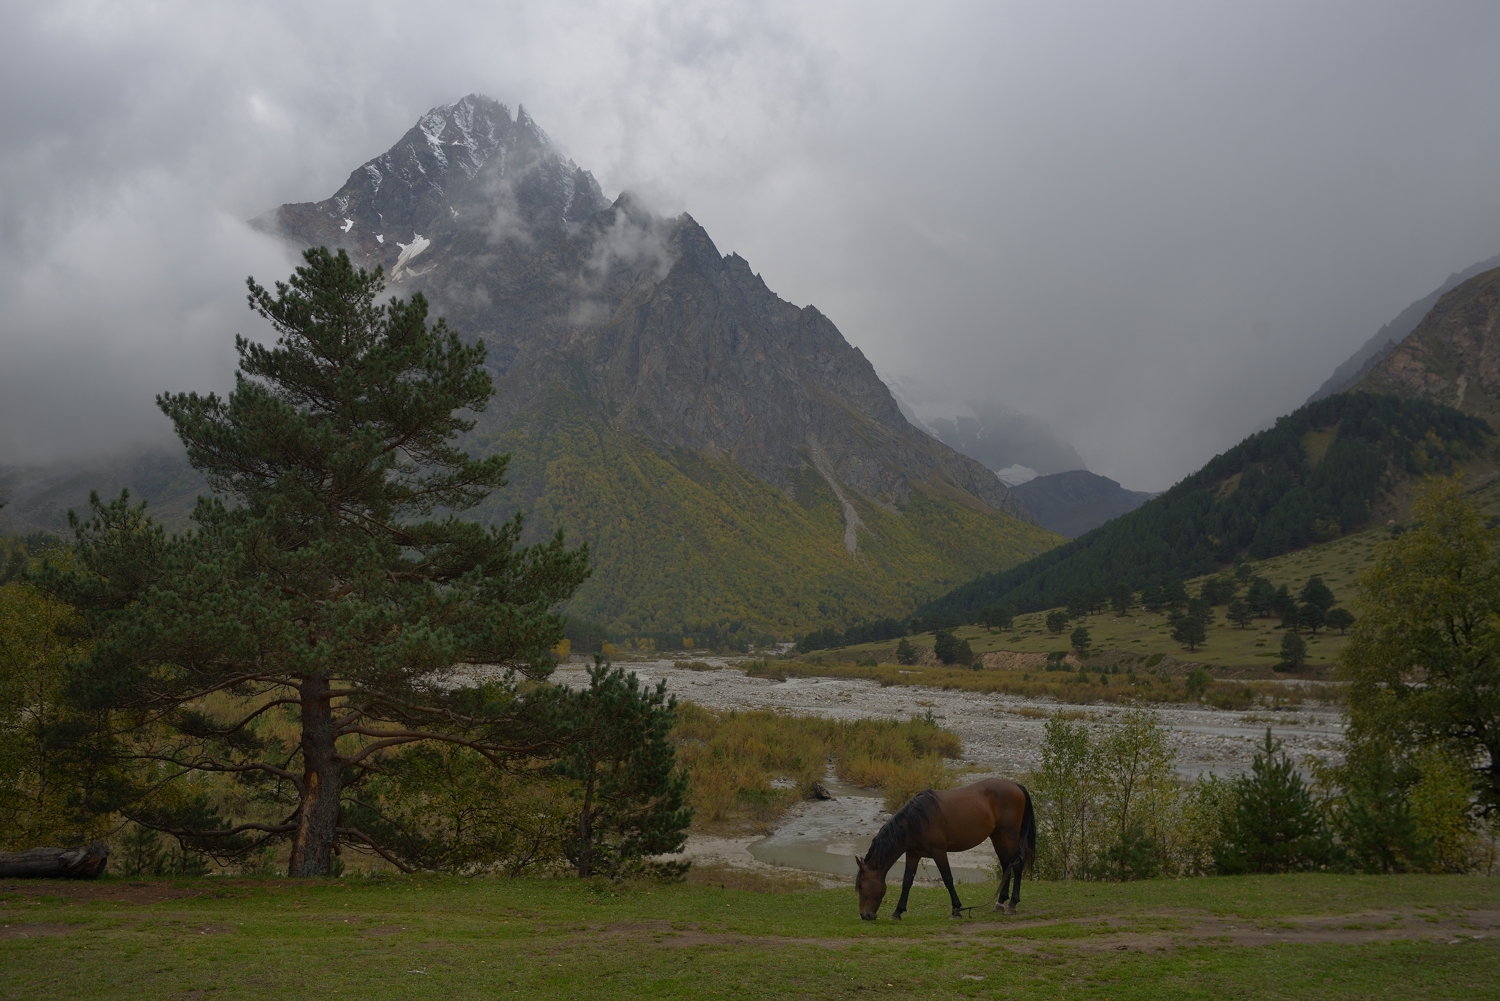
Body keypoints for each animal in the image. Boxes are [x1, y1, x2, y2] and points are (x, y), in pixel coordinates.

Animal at [858, 780, 1032, 918]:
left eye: (861, 886)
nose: (865, 915)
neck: (917, 821)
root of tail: (1015, 785)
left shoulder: (939, 852)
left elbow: (947, 878)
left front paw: (956, 910)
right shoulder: (913, 854)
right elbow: (907, 881)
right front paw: (898, 912)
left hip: (1010, 835)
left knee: (1017, 865)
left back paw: (1012, 905)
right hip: (997, 836)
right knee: (1006, 865)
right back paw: (1000, 902)